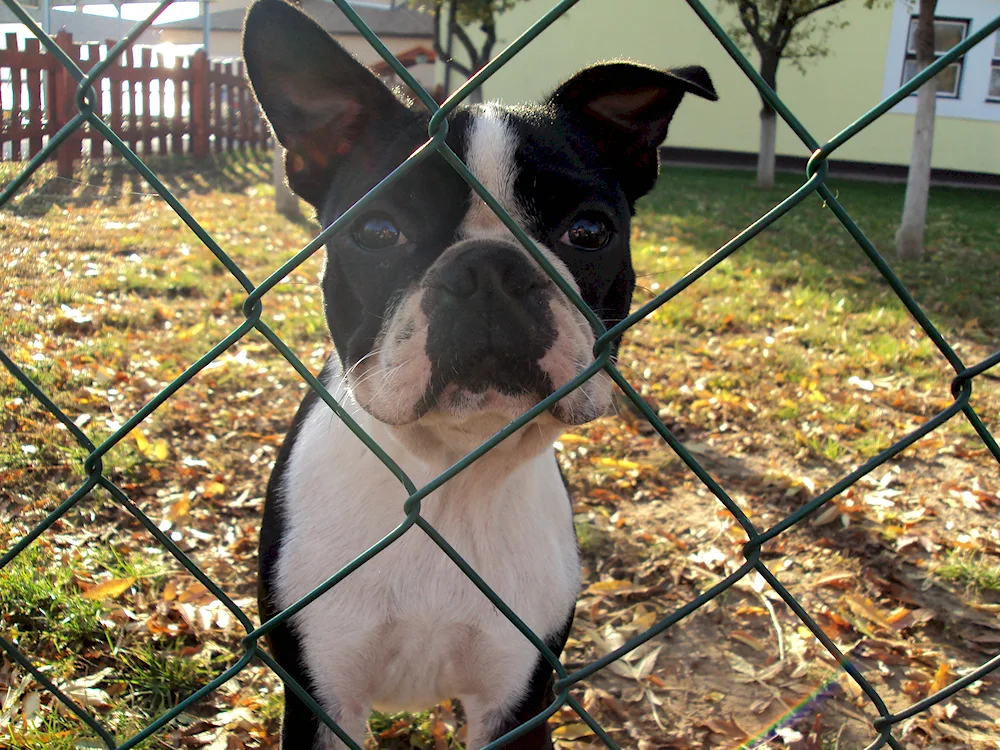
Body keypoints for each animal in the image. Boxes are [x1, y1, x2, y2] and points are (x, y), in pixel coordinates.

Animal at [239, 2, 716, 748]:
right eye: (378, 232)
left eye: (589, 232)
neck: (451, 476)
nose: (491, 266)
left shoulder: (518, 699)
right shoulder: (322, 698)